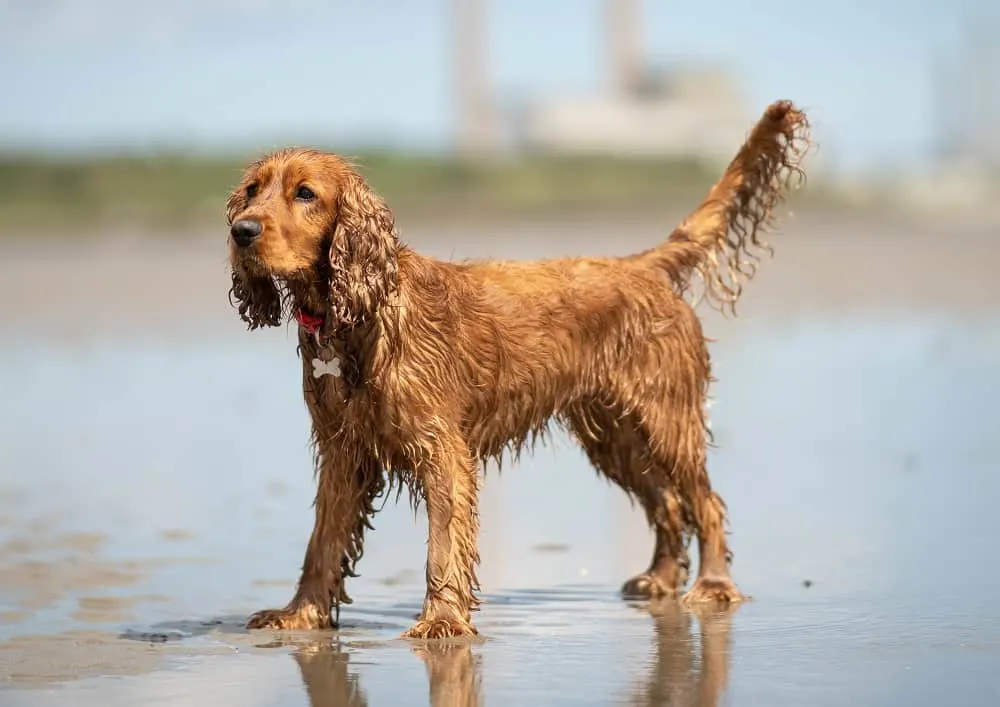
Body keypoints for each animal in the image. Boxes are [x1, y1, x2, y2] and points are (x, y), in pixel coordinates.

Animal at [229, 101, 812, 640]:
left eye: (306, 194)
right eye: (253, 190)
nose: (241, 230)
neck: (356, 315)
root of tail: (642, 266)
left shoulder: (441, 450)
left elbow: (443, 544)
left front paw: (441, 621)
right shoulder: (343, 451)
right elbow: (323, 543)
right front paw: (300, 614)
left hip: (668, 421)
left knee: (705, 503)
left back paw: (713, 585)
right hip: (615, 437)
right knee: (668, 505)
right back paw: (662, 578)